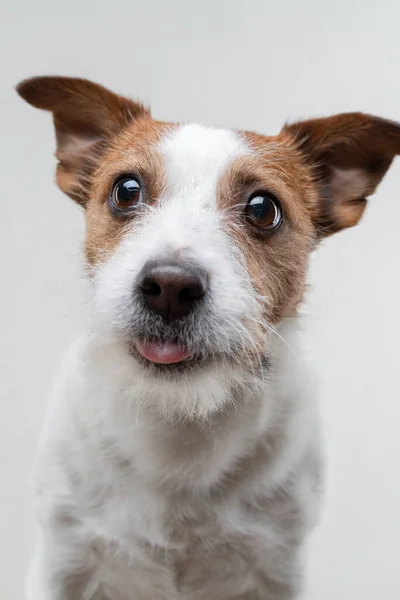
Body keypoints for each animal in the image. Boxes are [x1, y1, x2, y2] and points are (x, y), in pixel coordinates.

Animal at [17, 76, 400, 600]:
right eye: (126, 190)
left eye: (263, 208)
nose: (170, 287)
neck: (178, 423)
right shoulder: (64, 559)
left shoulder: (279, 567)